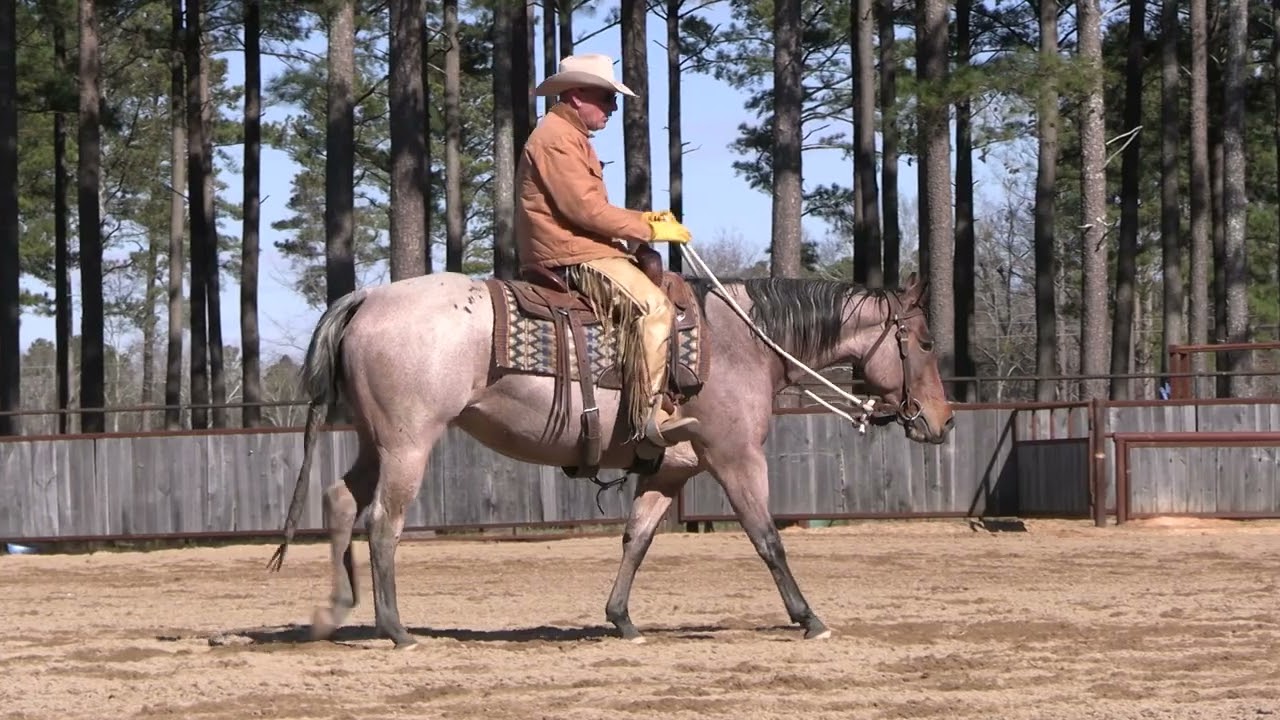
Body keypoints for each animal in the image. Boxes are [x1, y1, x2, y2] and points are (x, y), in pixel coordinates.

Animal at [266, 268, 954, 648]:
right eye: (922, 341)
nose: (942, 421)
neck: (742, 343)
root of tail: (367, 298)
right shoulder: (736, 459)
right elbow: (767, 539)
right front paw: (808, 617)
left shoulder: (671, 469)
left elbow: (637, 538)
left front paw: (621, 619)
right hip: (408, 443)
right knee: (384, 523)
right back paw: (396, 629)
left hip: (373, 441)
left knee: (339, 501)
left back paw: (335, 612)